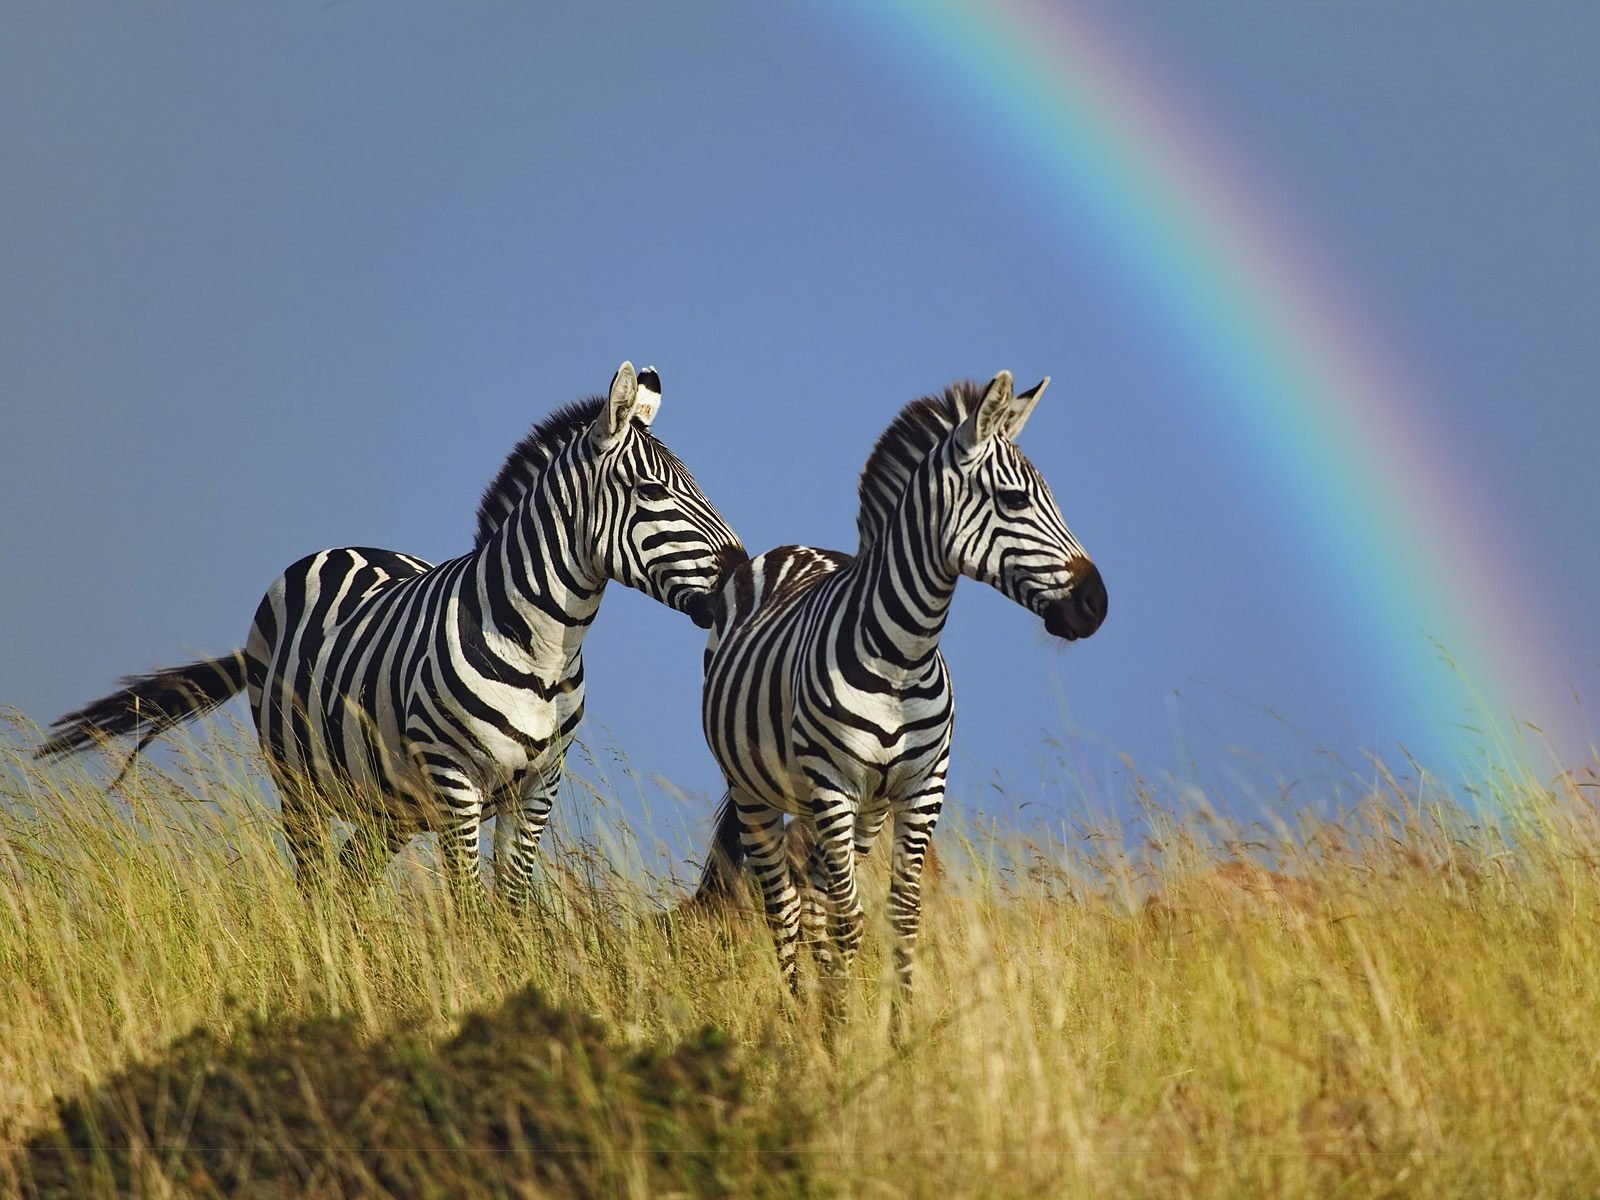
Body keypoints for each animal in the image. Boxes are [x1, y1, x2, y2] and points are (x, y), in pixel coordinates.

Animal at [38, 362, 746, 905]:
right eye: (652, 490)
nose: (742, 571)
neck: (545, 647)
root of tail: (345, 547)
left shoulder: (537, 787)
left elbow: (512, 910)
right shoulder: (456, 782)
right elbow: (468, 910)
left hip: (391, 802)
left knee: (351, 882)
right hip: (297, 780)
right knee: (315, 883)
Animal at [692, 370, 1106, 1033]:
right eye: (1015, 501)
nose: (1097, 603)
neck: (903, 656)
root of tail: (792, 549)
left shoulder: (920, 789)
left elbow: (899, 916)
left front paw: (899, 1035)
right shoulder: (833, 784)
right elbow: (847, 919)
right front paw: (839, 1035)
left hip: (856, 810)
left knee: (815, 904)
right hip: (758, 792)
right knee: (786, 907)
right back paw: (802, 1017)